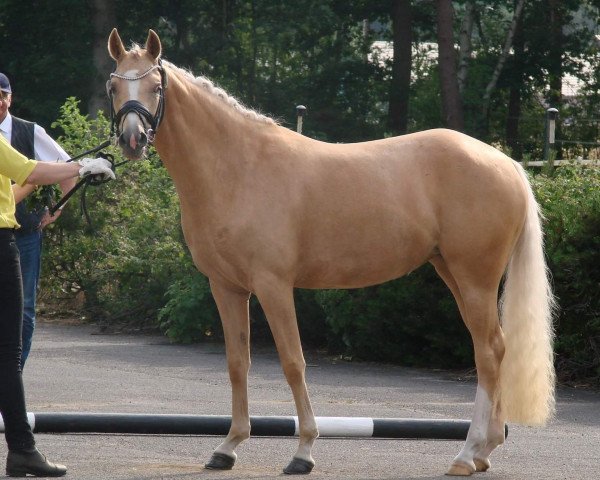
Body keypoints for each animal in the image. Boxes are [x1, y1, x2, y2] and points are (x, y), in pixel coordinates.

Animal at [105, 30, 556, 476]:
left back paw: (467, 453)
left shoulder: (273, 286)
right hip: (453, 274)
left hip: (475, 278)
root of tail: (507, 164)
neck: (238, 168)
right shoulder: (226, 287)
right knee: (495, 348)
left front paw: (303, 451)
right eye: (113, 86)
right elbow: (237, 364)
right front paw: (228, 446)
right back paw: (484, 451)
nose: (132, 139)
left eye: (156, 86)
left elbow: (293, 362)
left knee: (489, 353)